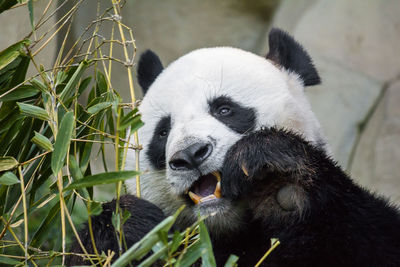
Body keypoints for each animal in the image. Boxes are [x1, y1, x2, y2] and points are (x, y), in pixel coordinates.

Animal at [68, 28, 400, 266]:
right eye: (163, 131)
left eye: (224, 109)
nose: (190, 154)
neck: (225, 231)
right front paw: (127, 225)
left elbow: (371, 234)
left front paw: (280, 185)